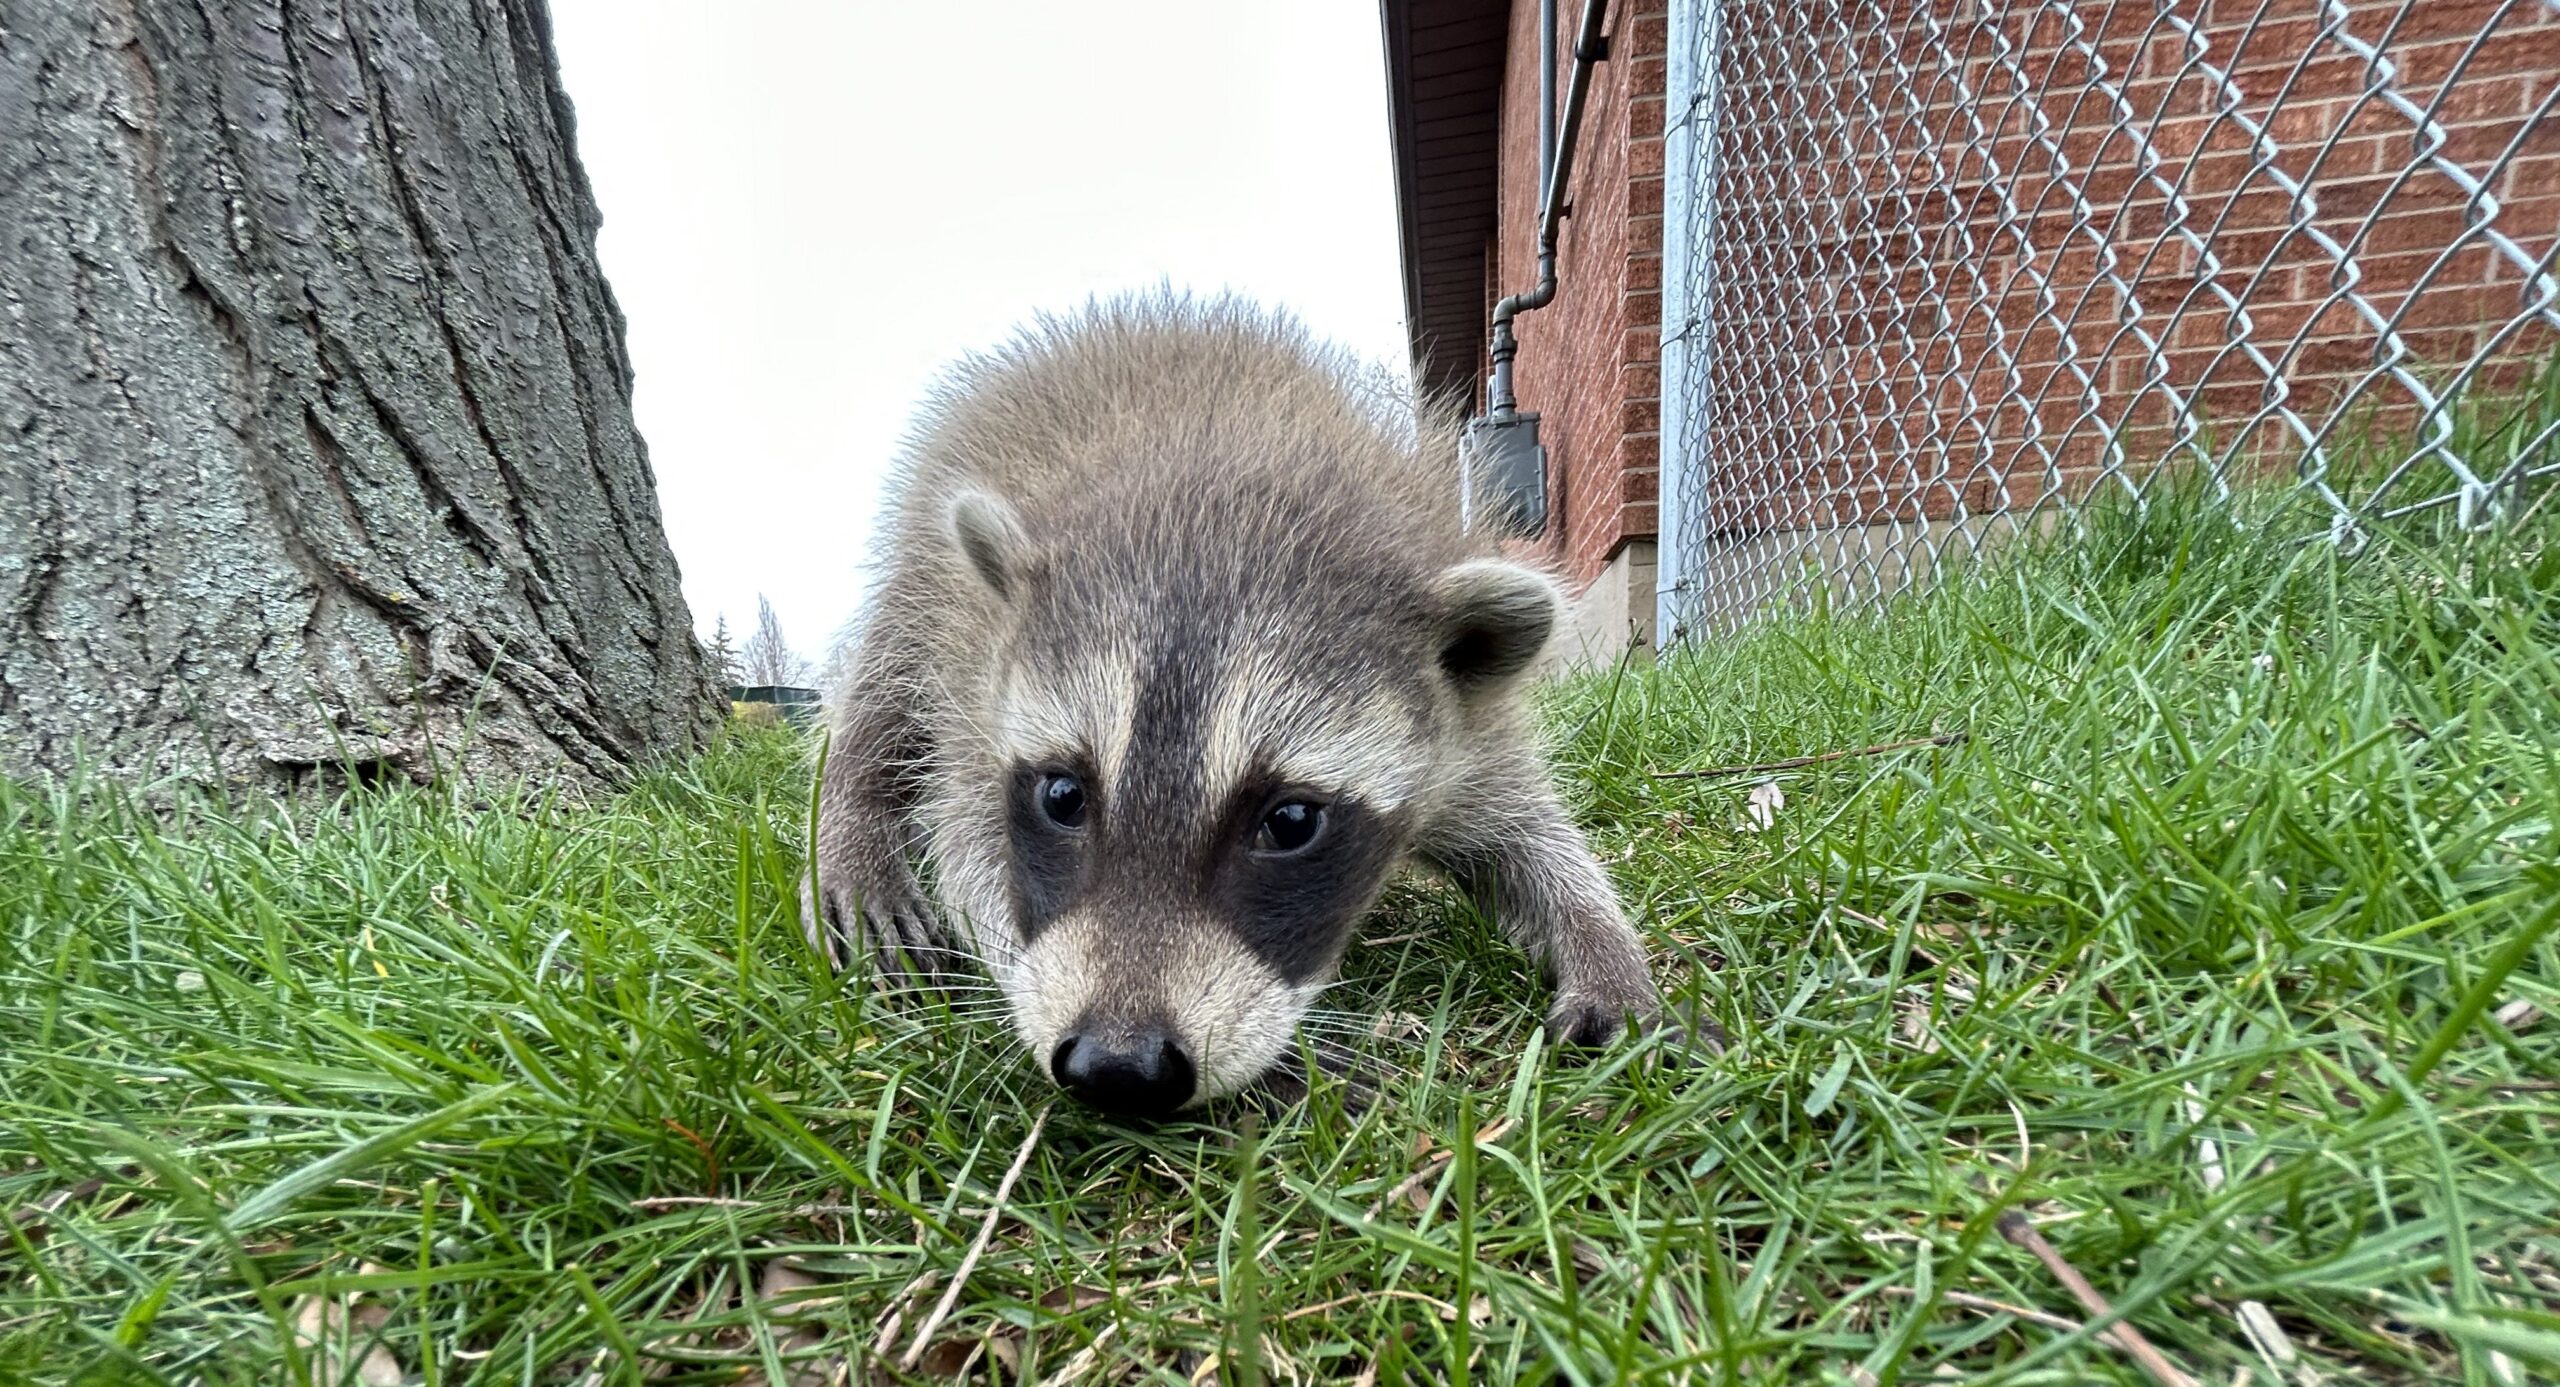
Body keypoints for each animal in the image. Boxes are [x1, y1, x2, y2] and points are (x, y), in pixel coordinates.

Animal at [808, 294, 1669, 1120]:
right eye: (1061, 796)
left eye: (1290, 821)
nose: (1116, 1064)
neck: (1222, 474)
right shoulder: (977, 683)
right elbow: (972, 844)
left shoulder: (1468, 720)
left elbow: (1528, 833)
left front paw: (1602, 945)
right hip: (931, 563)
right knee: (884, 687)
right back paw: (854, 826)